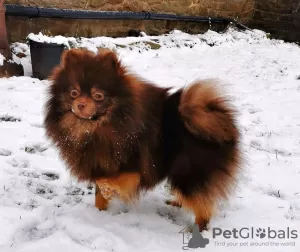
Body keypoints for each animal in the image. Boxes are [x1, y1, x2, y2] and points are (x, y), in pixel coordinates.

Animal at [44, 48, 241, 231]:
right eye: (74, 93)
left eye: (98, 96)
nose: (80, 105)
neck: (95, 128)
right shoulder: (101, 162)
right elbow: (99, 191)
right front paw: (99, 212)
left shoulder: (133, 168)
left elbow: (106, 181)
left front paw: (107, 192)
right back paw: (178, 203)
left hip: (189, 171)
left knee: (202, 206)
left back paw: (199, 230)